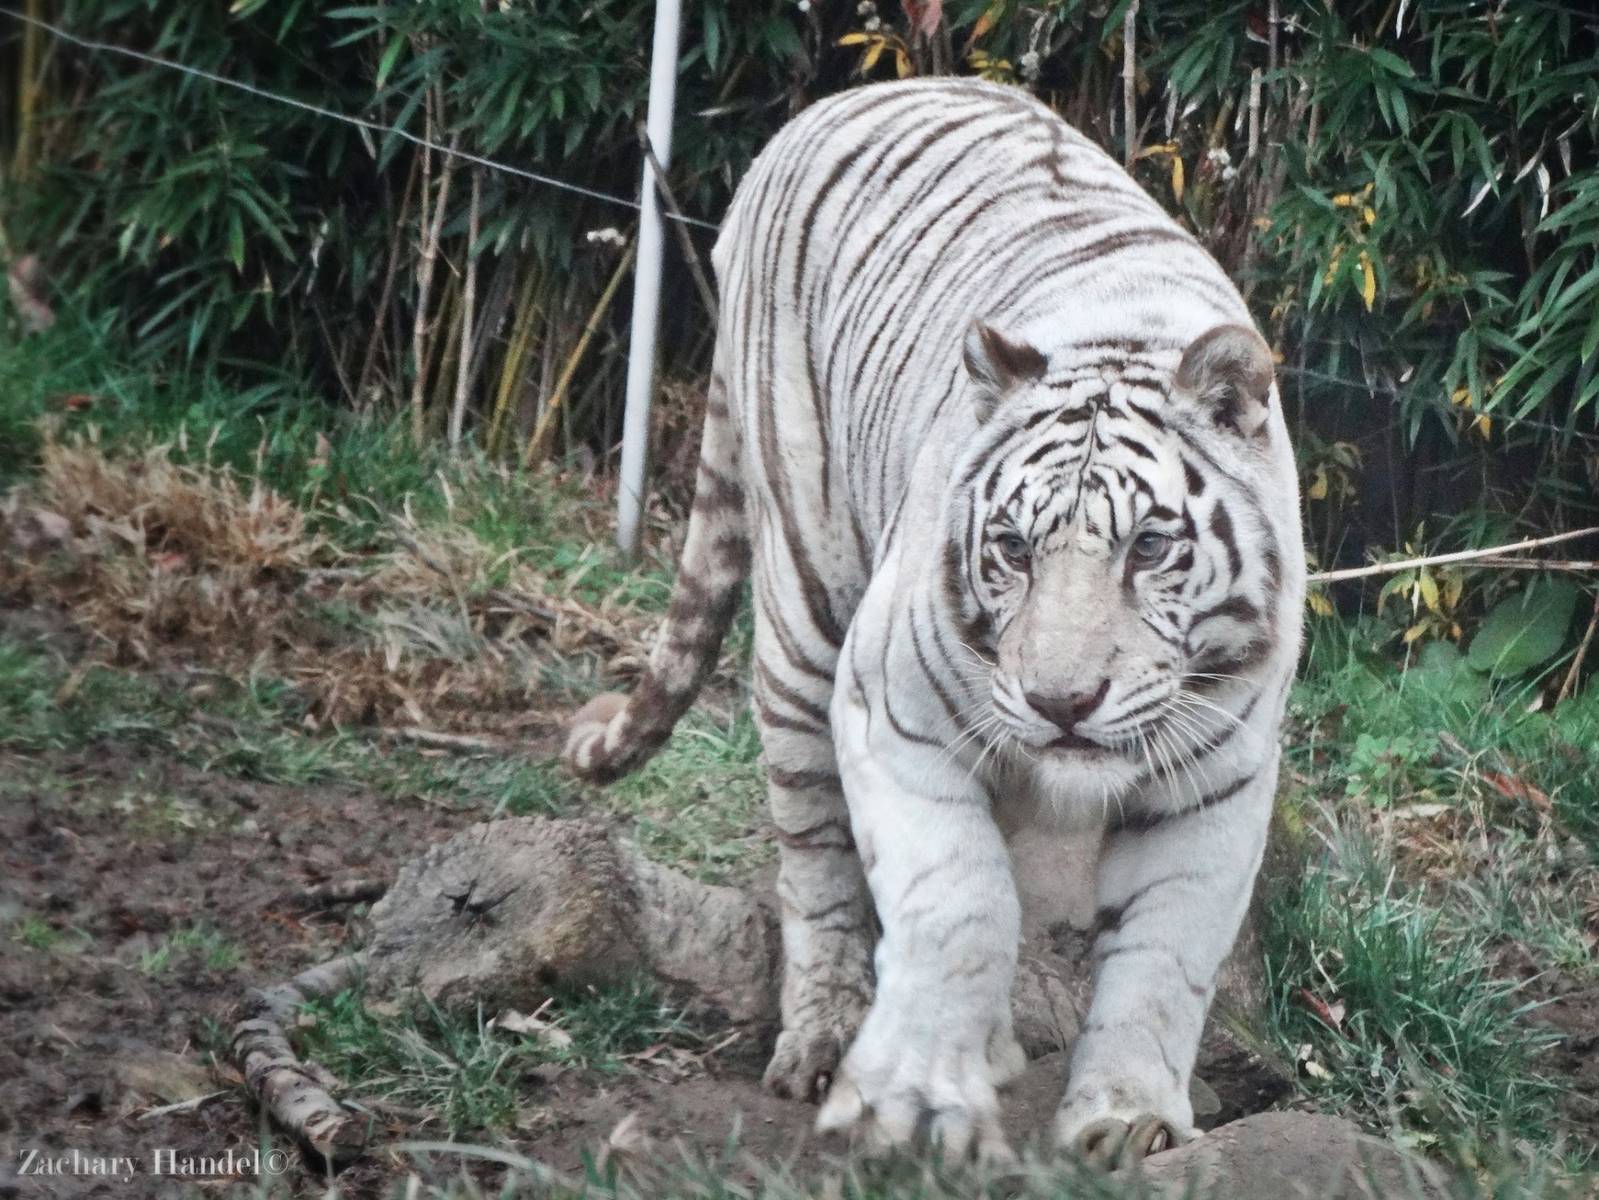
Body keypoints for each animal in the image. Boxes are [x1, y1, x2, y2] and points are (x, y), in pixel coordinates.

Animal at [563, 77, 1305, 1164]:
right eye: (1012, 549)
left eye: (1148, 548)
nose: (1062, 703)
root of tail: (826, 106)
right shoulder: (894, 712)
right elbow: (963, 903)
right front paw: (911, 1092)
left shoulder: (1217, 776)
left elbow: (1164, 954)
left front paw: (1124, 1119)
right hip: (805, 603)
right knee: (817, 855)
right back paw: (824, 1035)